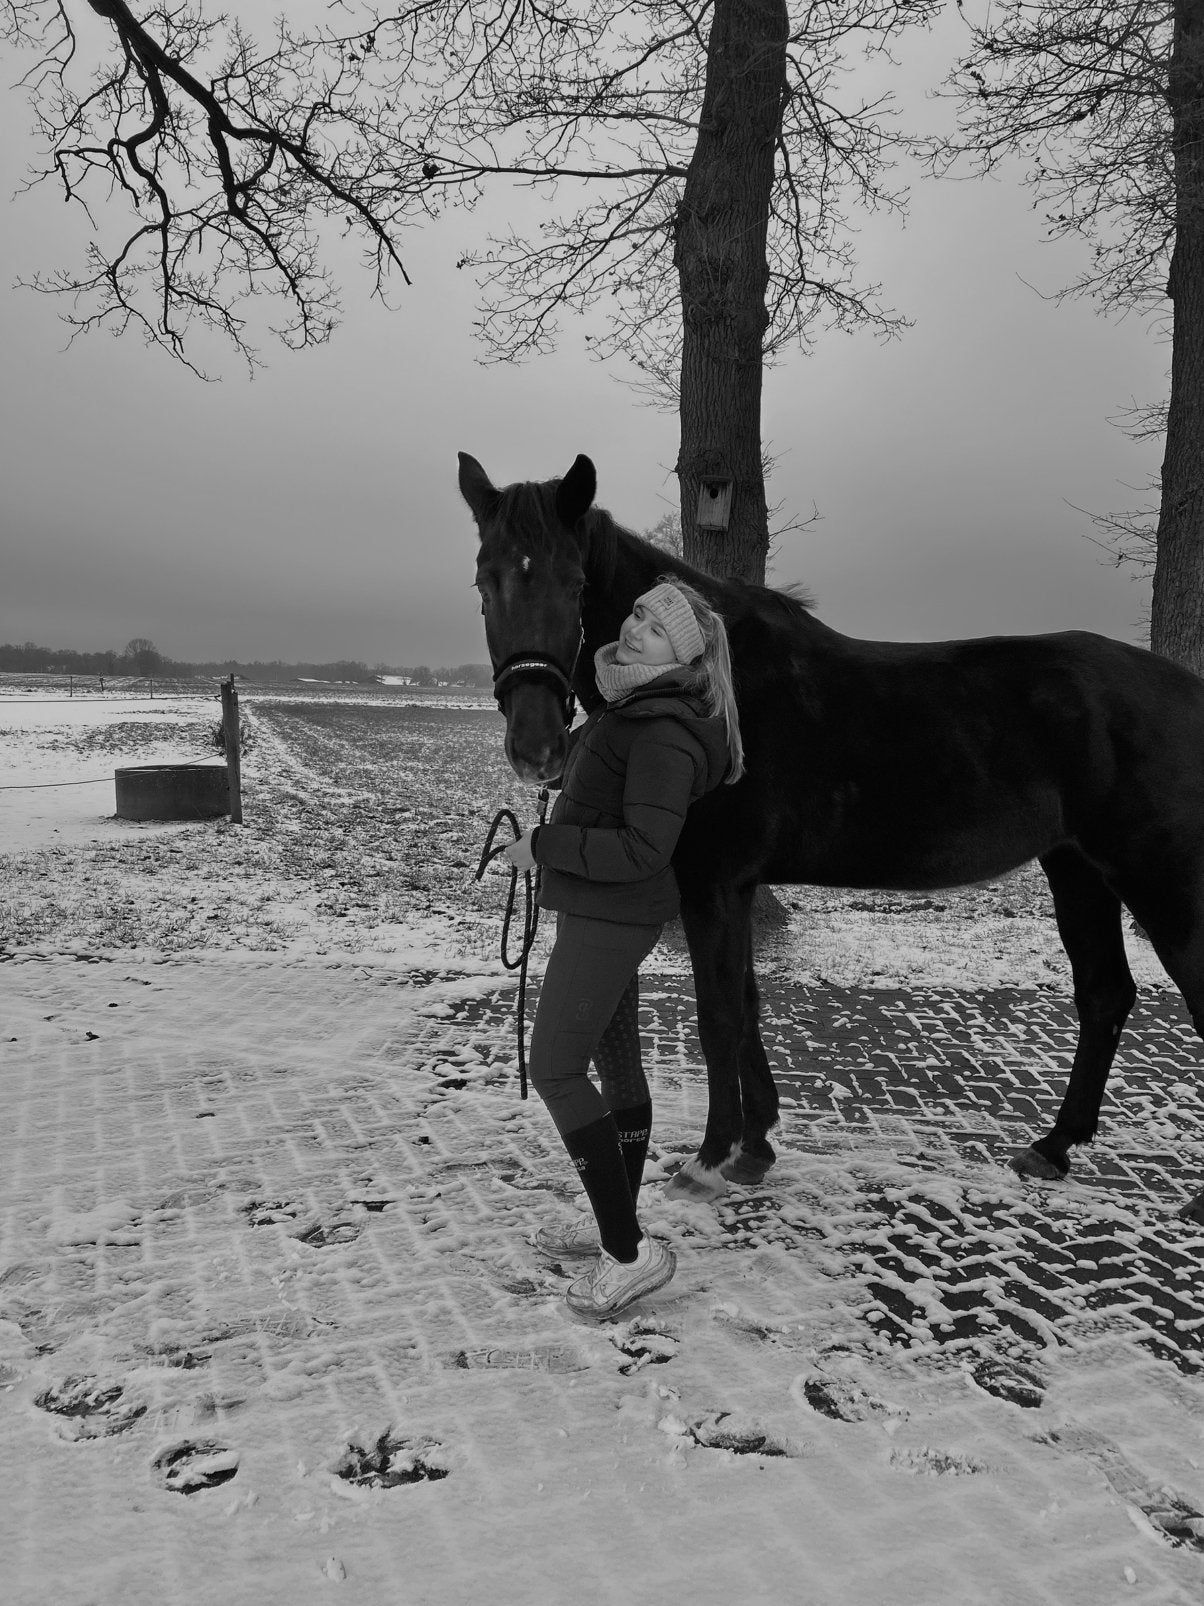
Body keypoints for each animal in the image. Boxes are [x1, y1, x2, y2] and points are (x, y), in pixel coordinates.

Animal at [459, 450, 1204, 1219]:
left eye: (574, 583)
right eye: (485, 581)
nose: (536, 747)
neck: (713, 694)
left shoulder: (712, 885)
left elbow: (719, 1016)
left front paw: (709, 1158)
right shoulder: (734, 888)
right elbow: (747, 1006)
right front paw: (755, 1147)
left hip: (1162, 885)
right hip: (1078, 871)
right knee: (1104, 995)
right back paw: (1052, 1148)